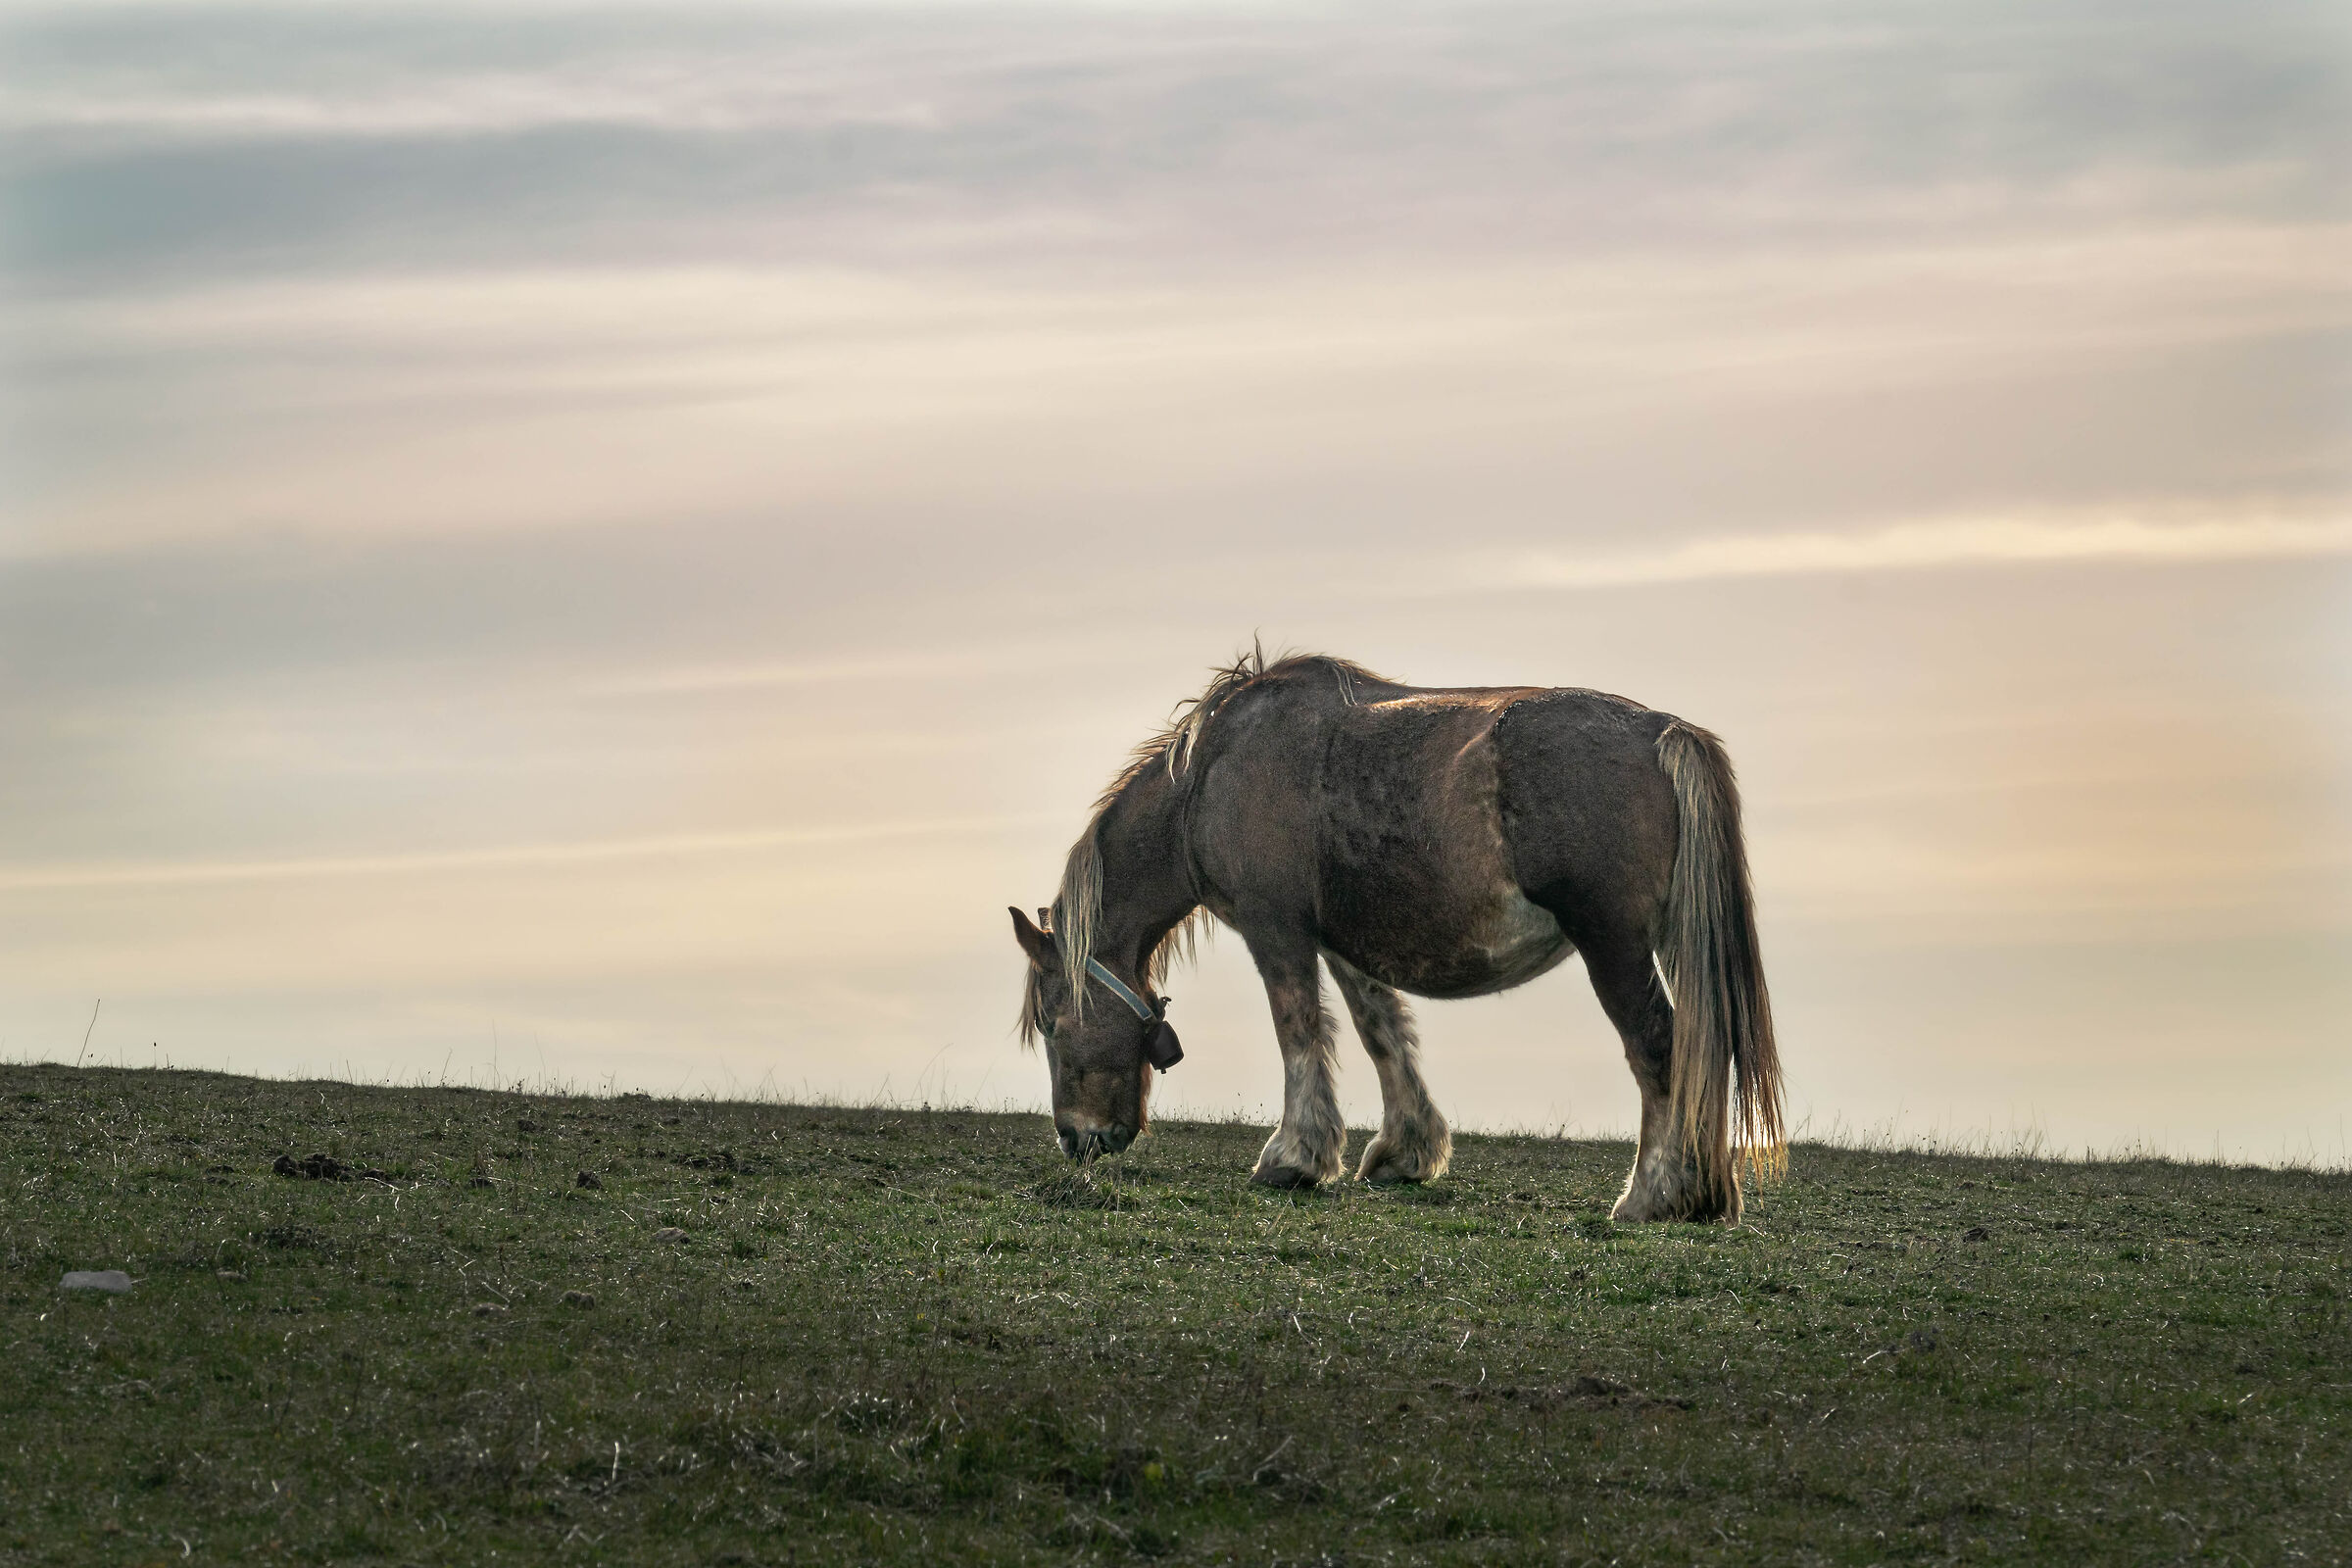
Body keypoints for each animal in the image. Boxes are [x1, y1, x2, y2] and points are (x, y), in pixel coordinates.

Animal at [1010, 648, 1785, 1222]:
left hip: (1613, 943)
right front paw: (1406, 1151)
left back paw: (1653, 1195)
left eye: (1052, 1023)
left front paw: (1293, 1157)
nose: (1076, 1139)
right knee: (1703, 1048)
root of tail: (1662, 733)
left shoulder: (1276, 931)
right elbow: (1380, 1031)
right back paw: (1704, 1194)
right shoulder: (1344, 945)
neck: (1211, 775)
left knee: (1660, 1047)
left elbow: (1299, 1031)